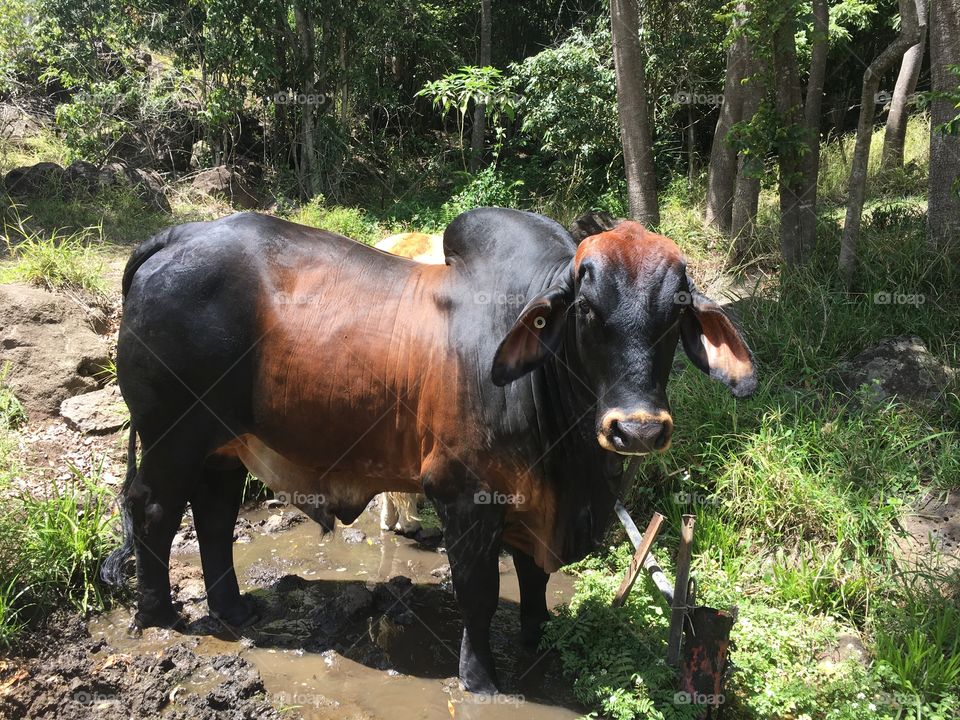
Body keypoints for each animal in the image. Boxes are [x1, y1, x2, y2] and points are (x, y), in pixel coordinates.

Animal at [101, 208, 756, 694]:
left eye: (675, 313)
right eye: (588, 310)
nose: (638, 431)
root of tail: (178, 235)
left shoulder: (529, 503)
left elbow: (533, 580)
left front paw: (538, 642)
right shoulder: (465, 496)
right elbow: (479, 592)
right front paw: (480, 679)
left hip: (221, 446)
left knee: (214, 516)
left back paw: (235, 610)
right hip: (172, 436)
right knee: (155, 512)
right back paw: (160, 616)